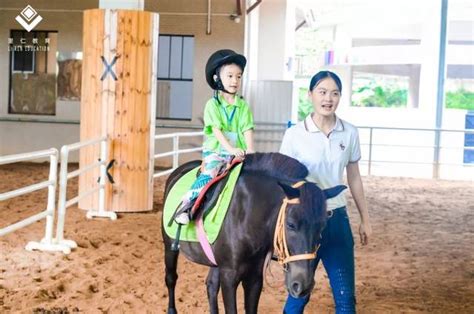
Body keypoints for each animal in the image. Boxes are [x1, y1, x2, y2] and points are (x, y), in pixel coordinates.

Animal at [162, 151, 344, 312]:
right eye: (291, 224)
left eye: (322, 226)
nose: (302, 285)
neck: (247, 215)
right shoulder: (229, 276)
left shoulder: (255, 277)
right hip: (170, 247)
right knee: (171, 279)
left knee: (211, 286)